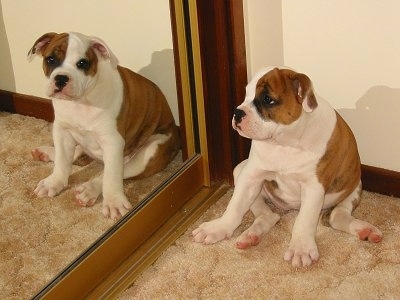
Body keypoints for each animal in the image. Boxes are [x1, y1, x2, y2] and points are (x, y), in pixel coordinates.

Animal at [29, 32, 181, 220]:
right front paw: (54, 182)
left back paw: (88, 190)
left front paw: (114, 202)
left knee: (112, 172)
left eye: (82, 63)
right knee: (78, 154)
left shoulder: (113, 141)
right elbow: (62, 161)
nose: (61, 78)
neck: (82, 101)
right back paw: (47, 153)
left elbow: (111, 177)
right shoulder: (62, 131)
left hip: (149, 153)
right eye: (50, 59)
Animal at [192, 66, 382, 268]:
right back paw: (251, 235)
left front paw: (301, 248)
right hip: (240, 171)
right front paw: (218, 227)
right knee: (267, 215)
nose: (237, 112)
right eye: (246, 94)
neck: (286, 141)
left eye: (267, 99)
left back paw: (365, 230)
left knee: (338, 215)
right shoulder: (251, 176)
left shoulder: (314, 187)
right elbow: (235, 205)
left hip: (354, 184)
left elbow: (304, 220)